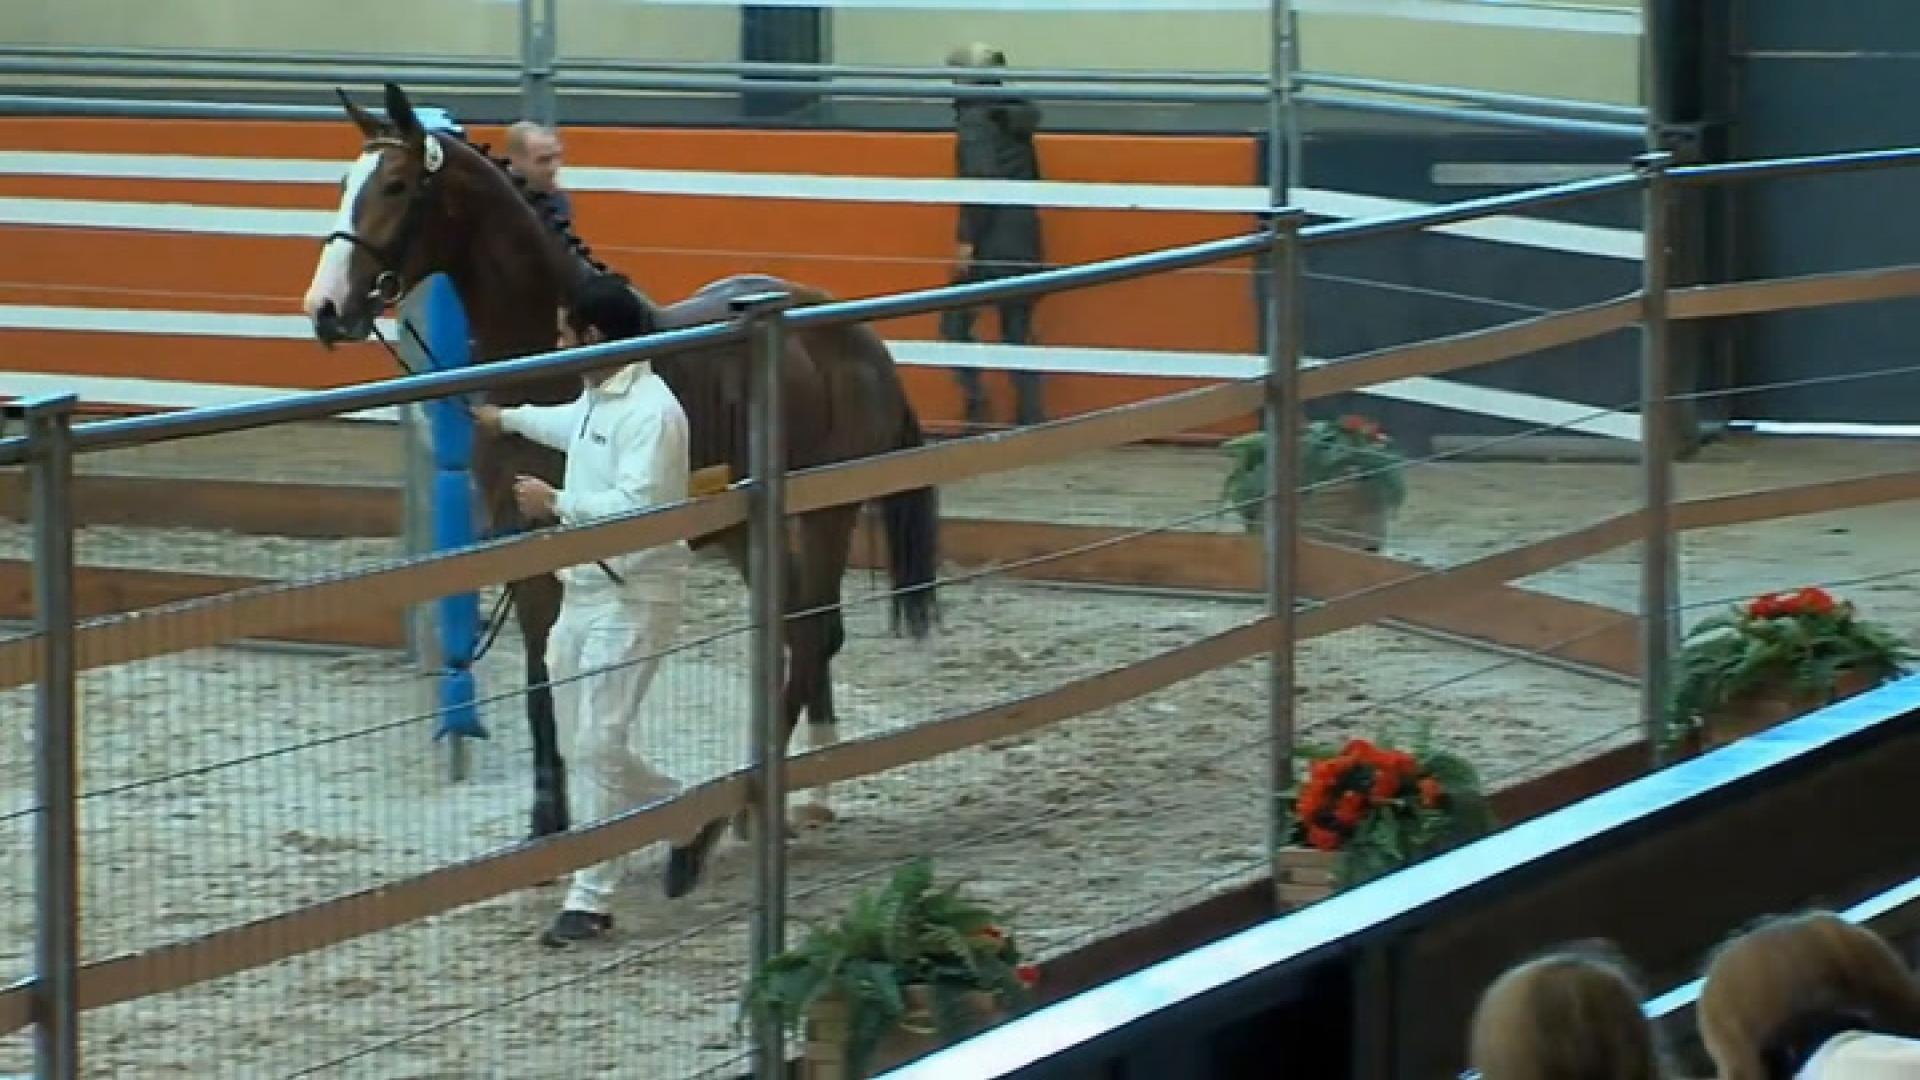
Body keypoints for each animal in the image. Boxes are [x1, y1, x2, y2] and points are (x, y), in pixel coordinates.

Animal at [300, 82, 941, 840]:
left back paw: (760, 807)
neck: (557, 364)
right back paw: (804, 791)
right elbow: (542, 677)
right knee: (796, 631)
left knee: (813, 635)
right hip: (747, 529)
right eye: (343, 186)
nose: (325, 308)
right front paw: (548, 819)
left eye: (397, 186)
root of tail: (856, 337)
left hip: (826, 513)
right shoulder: (525, 547)